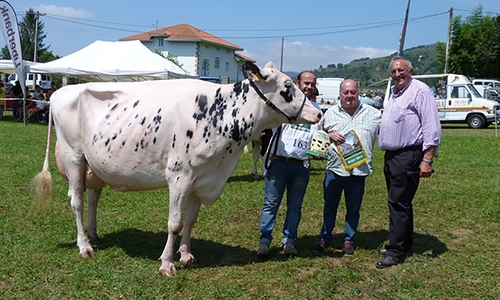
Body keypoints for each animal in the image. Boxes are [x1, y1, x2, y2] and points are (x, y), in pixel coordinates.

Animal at [33, 61, 322, 276]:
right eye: (287, 86)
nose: (318, 113)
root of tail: (61, 92)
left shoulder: (202, 178)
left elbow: (191, 221)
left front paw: (186, 255)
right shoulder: (180, 176)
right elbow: (175, 223)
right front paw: (167, 263)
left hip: (95, 165)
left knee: (93, 198)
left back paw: (93, 235)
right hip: (73, 156)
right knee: (77, 201)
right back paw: (84, 246)